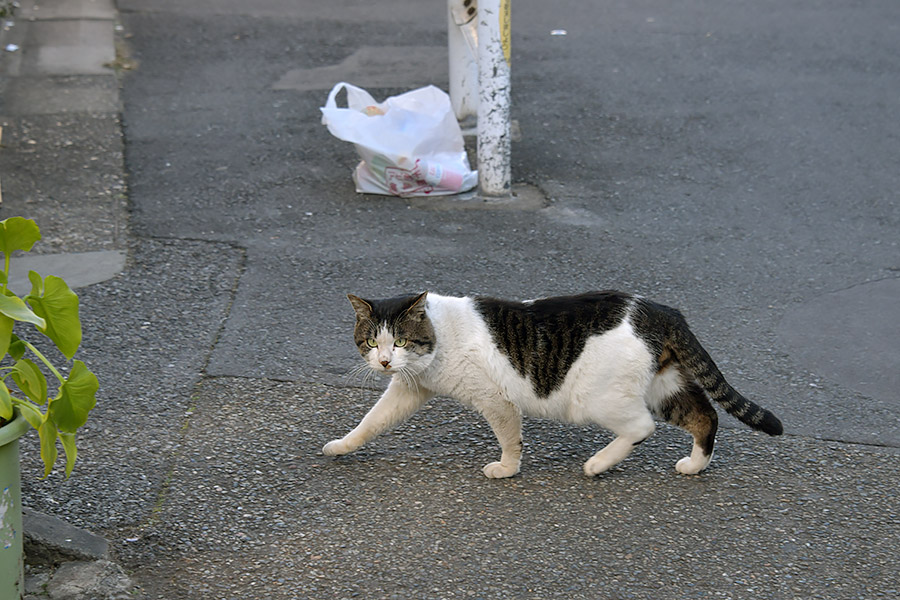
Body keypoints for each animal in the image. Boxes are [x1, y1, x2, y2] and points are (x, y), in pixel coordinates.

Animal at [324, 290, 780, 478]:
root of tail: (660, 309)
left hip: (597, 397)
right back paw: (694, 465)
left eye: (400, 341)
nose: (385, 362)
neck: (439, 338)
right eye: (372, 342)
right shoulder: (409, 388)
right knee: (705, 417)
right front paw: (342, 446)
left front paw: (507, 469)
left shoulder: (495, 399)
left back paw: (597, 465)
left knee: (641, 426)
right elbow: (372, 420)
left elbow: (510, 436)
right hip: (665, 385)